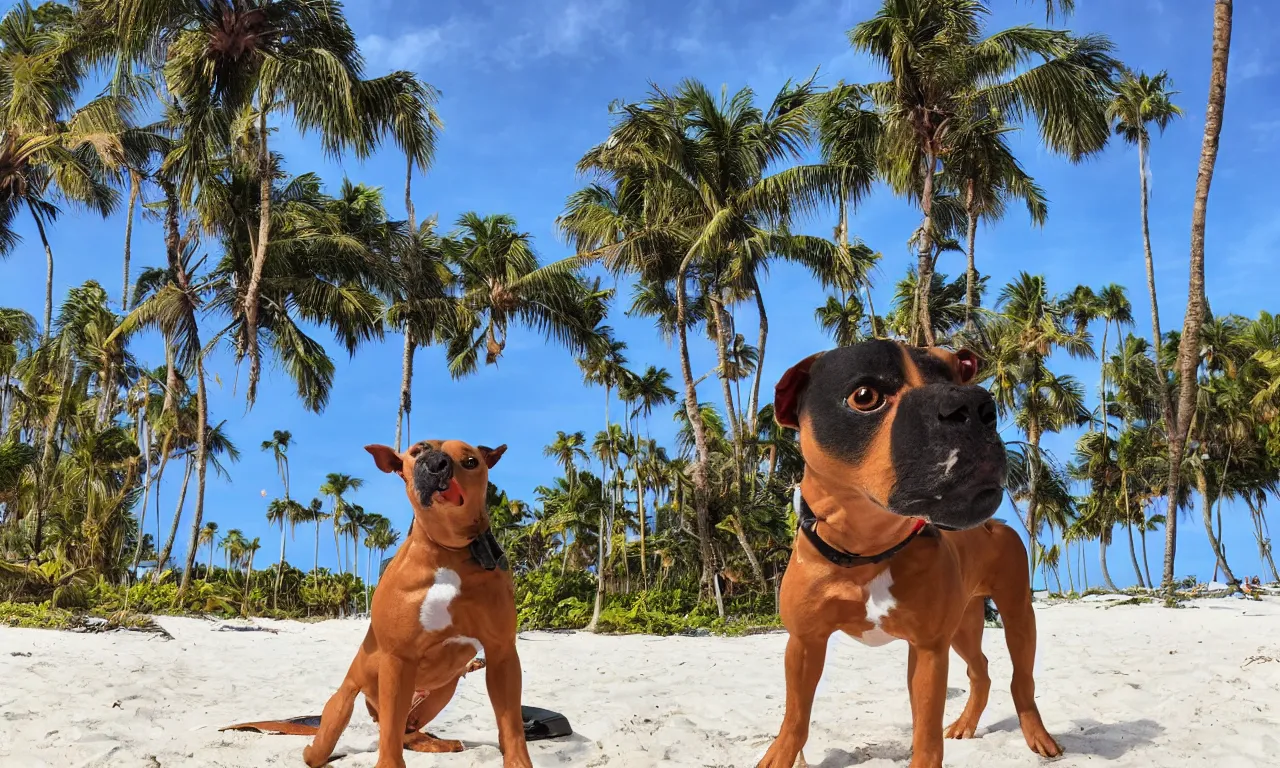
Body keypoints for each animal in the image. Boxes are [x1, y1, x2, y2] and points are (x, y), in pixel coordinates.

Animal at [302, 437, 532, 768]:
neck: (447, 551)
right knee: (349, 733)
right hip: (346, 699)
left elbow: (511, 724)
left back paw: (439, 743)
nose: (436, 463)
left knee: (410, 729)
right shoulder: (398, 661)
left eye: (471, 461)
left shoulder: (501, 654)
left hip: (441, 691)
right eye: (415, 452)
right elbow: (390, 736)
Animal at [757, 343, 1059, 768]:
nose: (975, 405)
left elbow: (926, 734)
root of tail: (993, 524)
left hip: (1016, 614)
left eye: (956, 375)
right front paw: (782, 754)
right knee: (980, 670)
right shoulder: (804, 642)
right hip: (964, 624)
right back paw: (965, 724)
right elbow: (796, 716)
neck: (869, 549)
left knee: (1022, 679)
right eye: (864, 396)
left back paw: (1037, 734)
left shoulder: (928, 651)